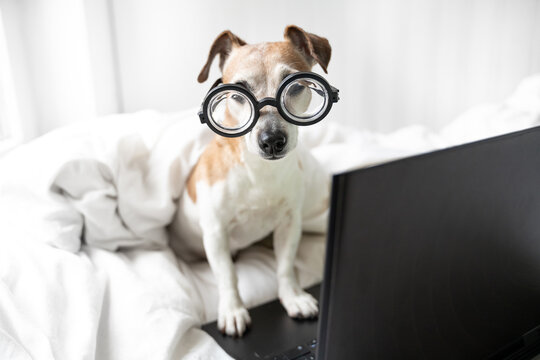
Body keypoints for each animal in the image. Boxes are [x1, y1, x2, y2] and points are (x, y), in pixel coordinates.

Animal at [172, 26, 334, 338]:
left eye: (295, 87)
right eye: (238, 94)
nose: (271, 140)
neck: (259, 173)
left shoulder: (289, 224)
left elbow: (285, 266)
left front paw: (293, 297)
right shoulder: (216, 233)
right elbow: (227, 276)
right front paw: (233, 310)